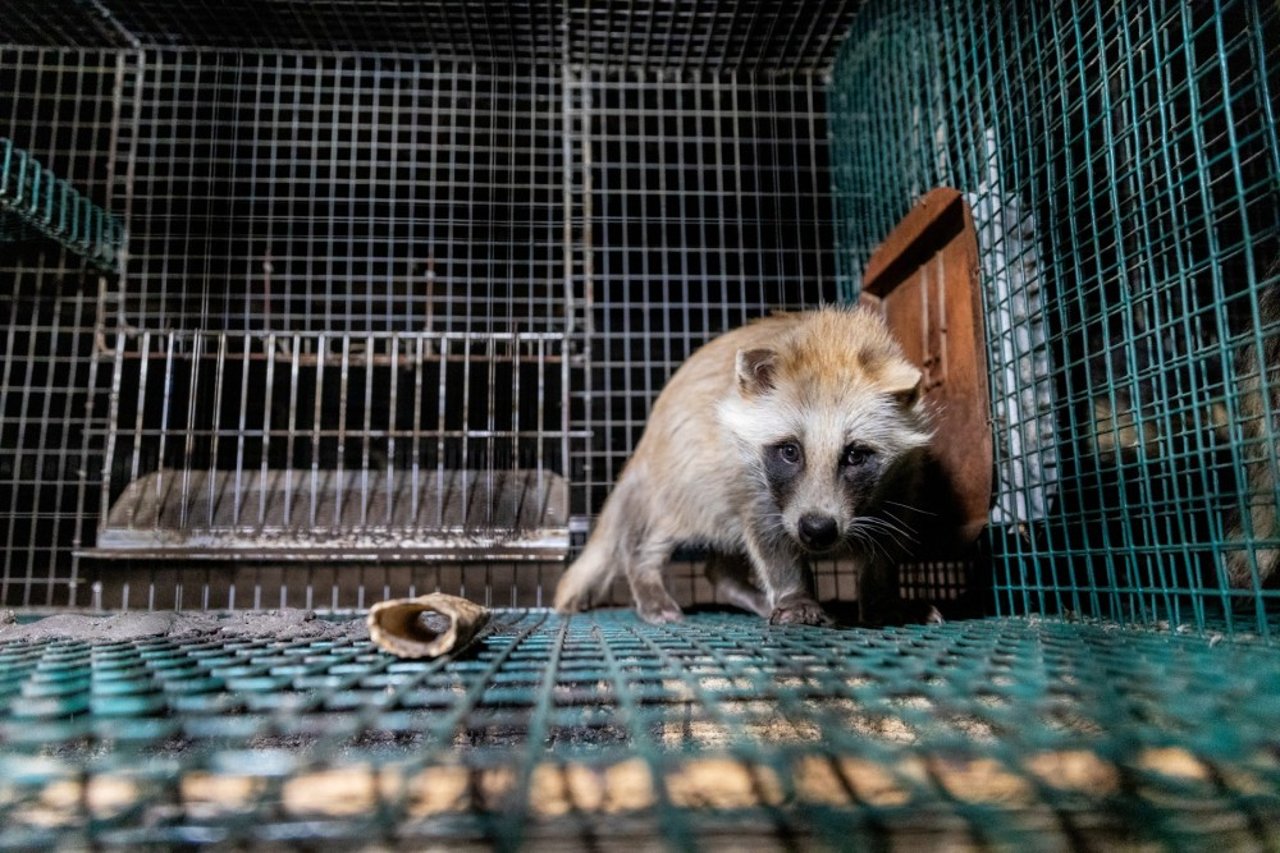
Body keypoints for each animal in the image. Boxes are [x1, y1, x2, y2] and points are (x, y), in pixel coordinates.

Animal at [555, 307, 936, 625]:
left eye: (855, 455)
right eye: (790, 451)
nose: (817, 530)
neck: (830, 338)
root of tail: (647, 440)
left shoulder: (897, 484)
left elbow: (884, 545)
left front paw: (882, 599)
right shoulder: (748, 479)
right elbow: (771, 540)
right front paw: (794, 593)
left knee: (719, 568)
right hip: (684, 481)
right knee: (652, 537)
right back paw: (647, 578)